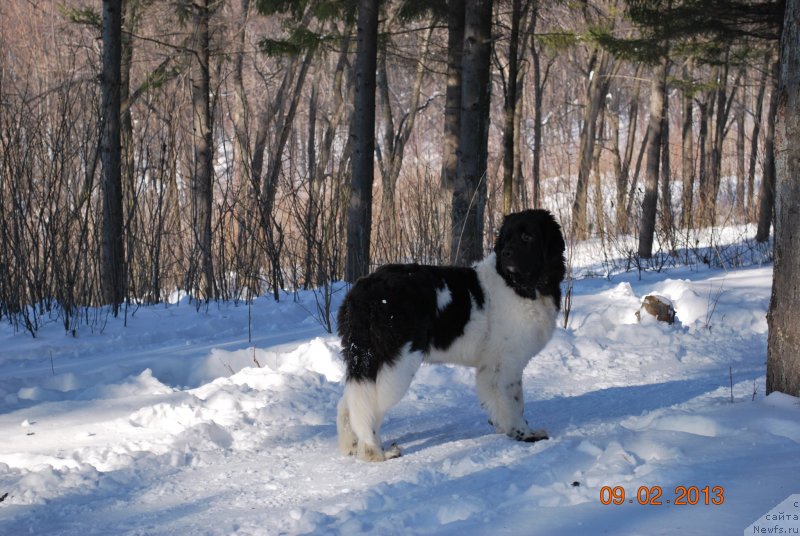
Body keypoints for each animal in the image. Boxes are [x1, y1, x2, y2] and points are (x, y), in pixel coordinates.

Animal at [334, 209, 564, 460]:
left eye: (526, 237)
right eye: (506, 239)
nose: (505, 253)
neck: (519, 285)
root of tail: (365, 289)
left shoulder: (493, 366)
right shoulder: (504, 364)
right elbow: (515, 402)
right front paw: (525, 434)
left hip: (366, 358)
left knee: (350, 402)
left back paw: (350, 446)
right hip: (397, 364)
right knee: (369, 408)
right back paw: (375, 451)